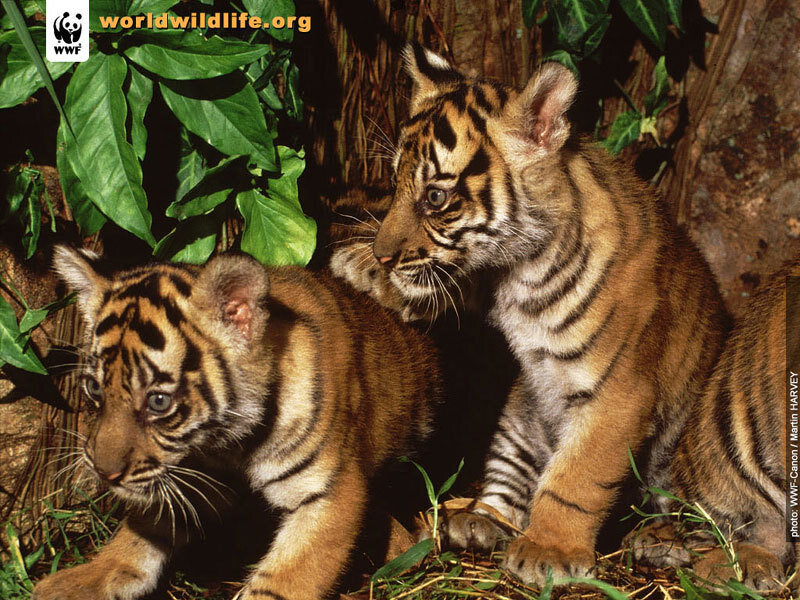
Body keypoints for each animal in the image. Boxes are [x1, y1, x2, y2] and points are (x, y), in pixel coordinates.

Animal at [33, 246, 441, 600]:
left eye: (158, 401)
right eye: (94, 387)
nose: (105, 474)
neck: (228, 444)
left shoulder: (329, 491)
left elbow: (285, 579)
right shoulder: (193, 475)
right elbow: (139, 532)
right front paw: (82, 579)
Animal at [330, 43, 731, 585]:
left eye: (435, 197)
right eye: (394, 184)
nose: (383, 254)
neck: (521, 274)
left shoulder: (619, 392)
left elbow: (576, 477)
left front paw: (549, 551)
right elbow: (453, 278)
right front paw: (364, 267)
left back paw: (658, 541)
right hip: (519, 417)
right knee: (508, 478)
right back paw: (477, 520)